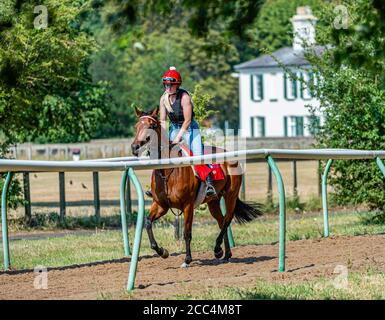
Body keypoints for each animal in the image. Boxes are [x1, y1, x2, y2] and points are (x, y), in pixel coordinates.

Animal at [130, 107, 262, 268]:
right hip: (214, 201)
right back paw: (226, 254)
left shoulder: (188, 206)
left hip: (231, 195)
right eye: (137, 126)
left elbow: (187, 232)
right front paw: (162, 251)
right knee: (221, 221)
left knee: (227, 219)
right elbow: (148, 223)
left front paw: (187, 259)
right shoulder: (161, 205)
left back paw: (217, 249)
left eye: (152, 126)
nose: (135, 147)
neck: (167, 171)